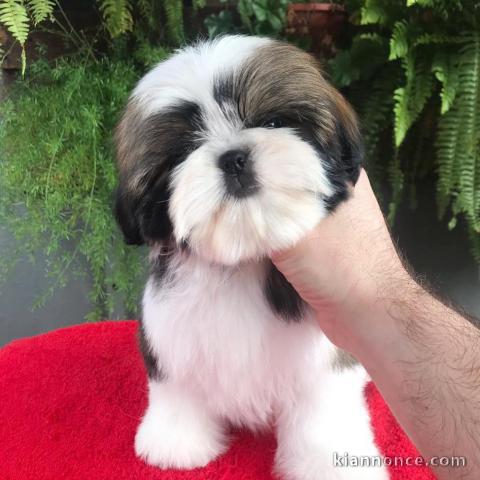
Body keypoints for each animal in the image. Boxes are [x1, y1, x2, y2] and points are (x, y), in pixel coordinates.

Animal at [115, 34, 390, 480]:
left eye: (274, 122)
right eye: (183, 151)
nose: (233, 157)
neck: (242, 257)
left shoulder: (323, 363)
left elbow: (323, 415)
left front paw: (331, 463)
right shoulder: (170, 338)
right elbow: (176, 388)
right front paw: (176, 442)